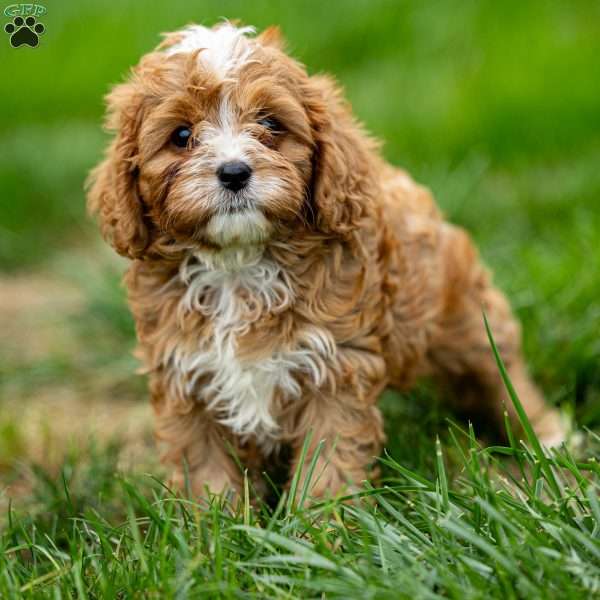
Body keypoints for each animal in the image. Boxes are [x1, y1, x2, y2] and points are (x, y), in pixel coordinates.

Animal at [86, 23, 564, 500]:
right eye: (182, 136)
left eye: (270, 124)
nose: (234, 172)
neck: (240, 264)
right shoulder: (185, 376)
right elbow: (203, 465)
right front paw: (214, 516)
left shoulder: (336, 367)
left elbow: (328, 457)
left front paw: (319, 518)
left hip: (463, 318)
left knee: (498, 370)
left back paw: (547, 437)